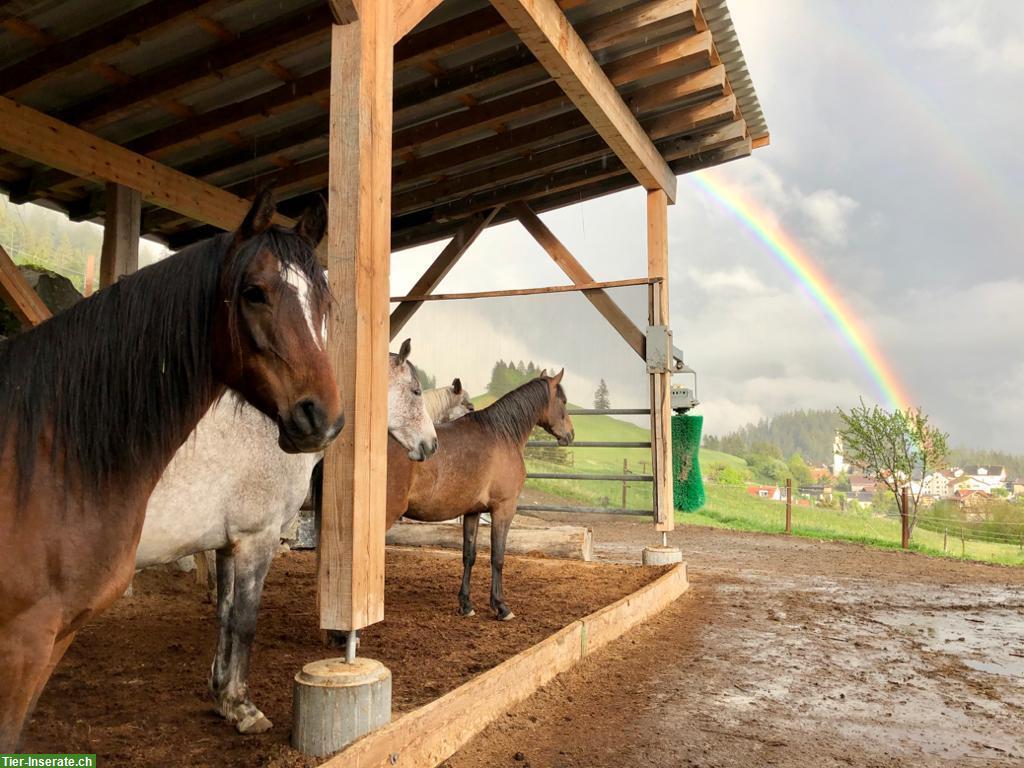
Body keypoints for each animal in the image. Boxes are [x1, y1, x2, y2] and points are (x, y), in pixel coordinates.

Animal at [0, 189, 342, 749]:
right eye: (254, 293)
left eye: (323, 303)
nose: (322, 418)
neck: (52, 451)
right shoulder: (256, 537)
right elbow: (243, 620)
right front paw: (242, 706)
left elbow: (225, 615)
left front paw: (224, 696)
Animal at [387, 370, 573, 622]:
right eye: (563, 401)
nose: (570, 434)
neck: (502, 434)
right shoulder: (504, 509)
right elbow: (498, 557)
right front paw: (501, 606)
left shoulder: (472, 512)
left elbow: (469, 555)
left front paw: (466, 604)